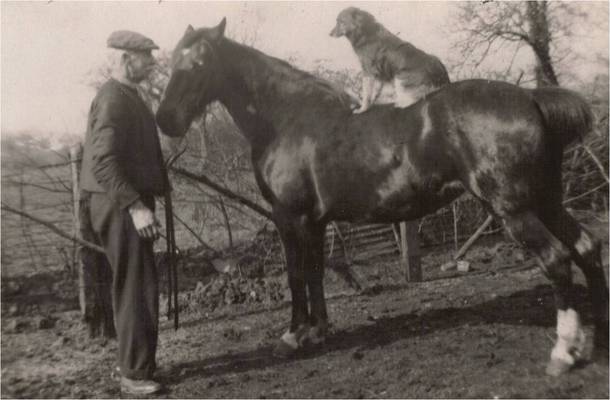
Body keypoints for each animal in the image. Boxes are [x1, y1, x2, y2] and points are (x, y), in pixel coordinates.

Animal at [154, 18, 604, 376]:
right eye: (173, 63)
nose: (165, 121)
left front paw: (293, 336)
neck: (287, 119)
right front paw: (318, 331)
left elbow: (297, 274)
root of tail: (530, 98)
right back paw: (591, 343)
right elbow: (316, 273)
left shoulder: (289, 217)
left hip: (515, 210)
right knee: (588, 247)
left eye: (197, 64)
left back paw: (563, 353)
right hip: (547, 201)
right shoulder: (315, 221)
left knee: (557, 260)